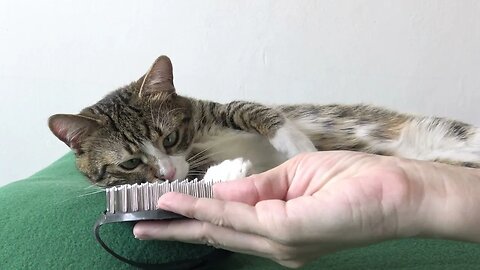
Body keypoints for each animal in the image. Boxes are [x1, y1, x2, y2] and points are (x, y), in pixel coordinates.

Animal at [47, 54, 480, 186]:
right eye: (130, 163)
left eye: (169, 139)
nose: (167, 170)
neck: (198, 143)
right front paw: (228, 171)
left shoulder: (213, 109)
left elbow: (248, 106)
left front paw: (298, 144)